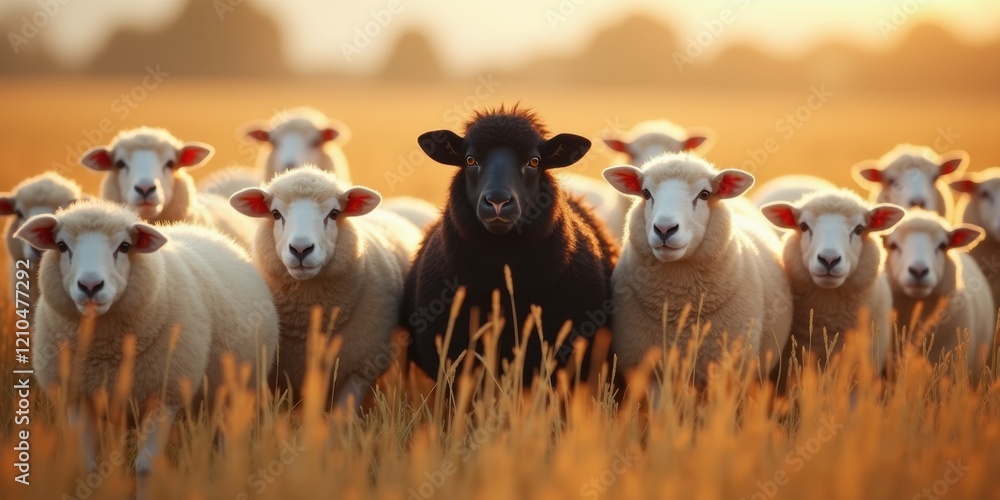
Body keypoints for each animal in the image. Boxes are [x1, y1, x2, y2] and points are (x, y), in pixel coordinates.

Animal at [15, 199, 278, 494]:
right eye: (61, 246)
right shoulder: (78, 398)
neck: (104, 352)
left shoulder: (164, 398)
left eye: (124, 247)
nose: (90, 285)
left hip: (233, 393)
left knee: (226, 444)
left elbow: (145, 468)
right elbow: (86, 467)